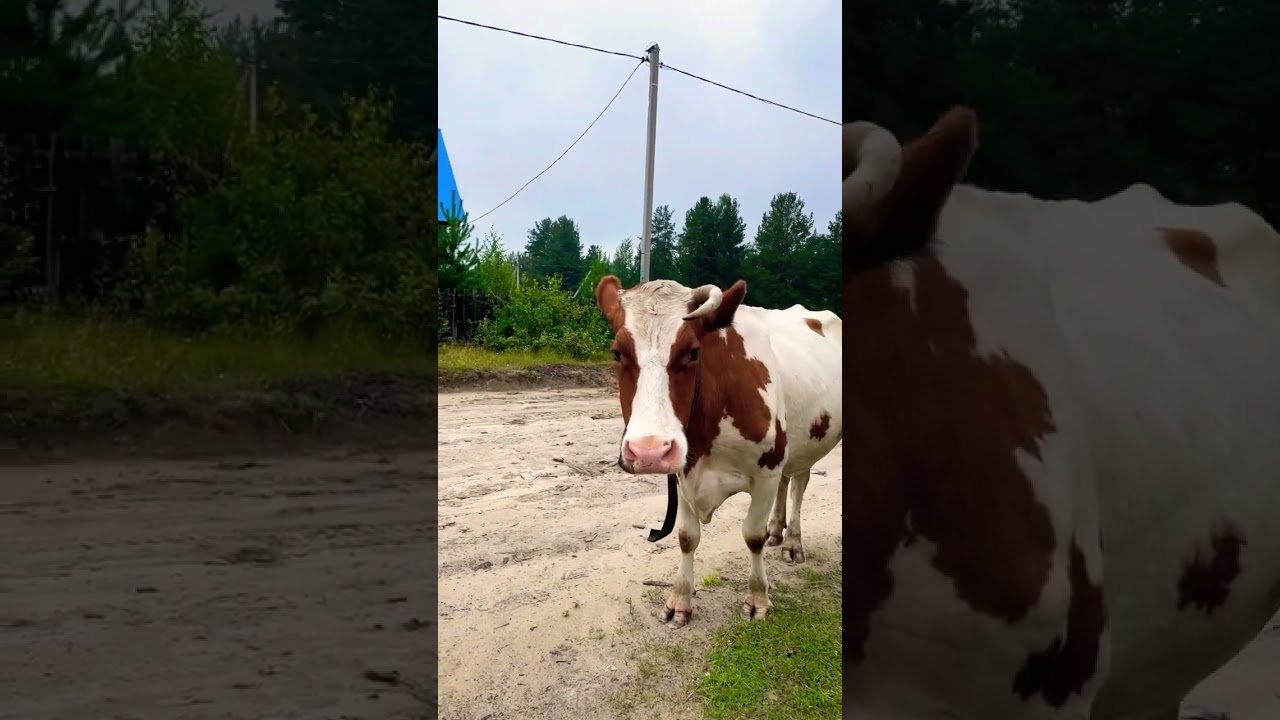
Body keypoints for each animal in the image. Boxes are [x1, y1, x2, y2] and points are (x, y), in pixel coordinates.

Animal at [595, 275, 842, 628]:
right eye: (617, 353)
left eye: (693, 352)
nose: (649, 452)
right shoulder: (683, 472)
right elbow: (686, 536)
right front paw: (680, 601)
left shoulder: (765, 473)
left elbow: (752, 536)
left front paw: (758, 598)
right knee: (790, 482)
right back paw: (777, 530)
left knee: (799, 484)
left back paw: (793, 541)